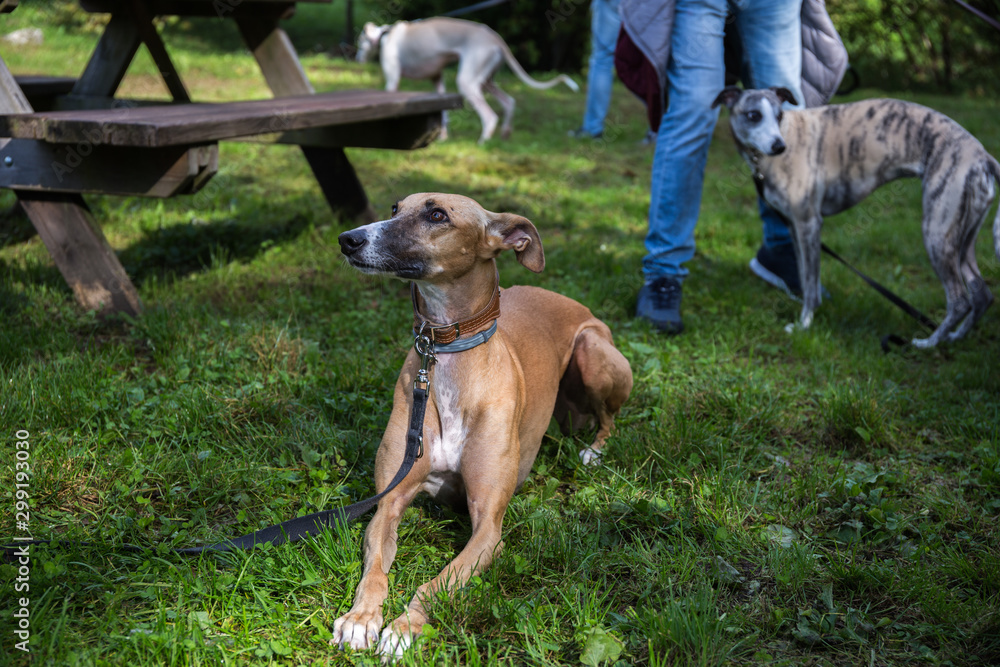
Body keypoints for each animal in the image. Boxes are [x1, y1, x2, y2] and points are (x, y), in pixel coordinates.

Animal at [336, 192, 632, 656]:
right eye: (396, 208)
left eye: (437, 214)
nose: (348, 239)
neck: (447, 353)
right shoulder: (390, 500)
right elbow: (376, 571)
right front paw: (361, 619)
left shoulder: (489, 528)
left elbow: (437, 583)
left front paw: (404, 628)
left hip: (594, 352)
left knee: (609, 421)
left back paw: (594, 452)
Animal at [358, 17, 580, 143]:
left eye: (360, 43)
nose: (357, 58)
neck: (385, 35)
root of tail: (496, 38)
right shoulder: (437, 81)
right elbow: (444, 114)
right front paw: (442, 138)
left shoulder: (393, 81)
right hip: (486, 81)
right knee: (509, 102)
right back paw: (505, 135)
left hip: (467, 82)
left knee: (490, 117)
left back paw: (483, 142)